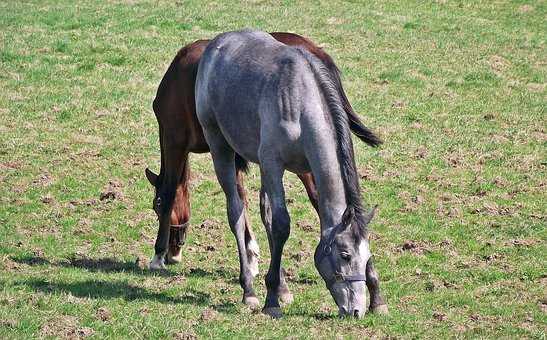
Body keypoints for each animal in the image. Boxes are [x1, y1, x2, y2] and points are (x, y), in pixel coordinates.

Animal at [143, 32, 388, 314]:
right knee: (236, 212)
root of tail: (218, 42)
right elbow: (280, 225)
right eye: (345, 255)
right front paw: (271, 299)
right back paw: (249, 288)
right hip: (221, 148)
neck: (299, 103)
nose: (356, 310)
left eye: (366, 256)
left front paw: (377, 299)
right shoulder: (271, 164)